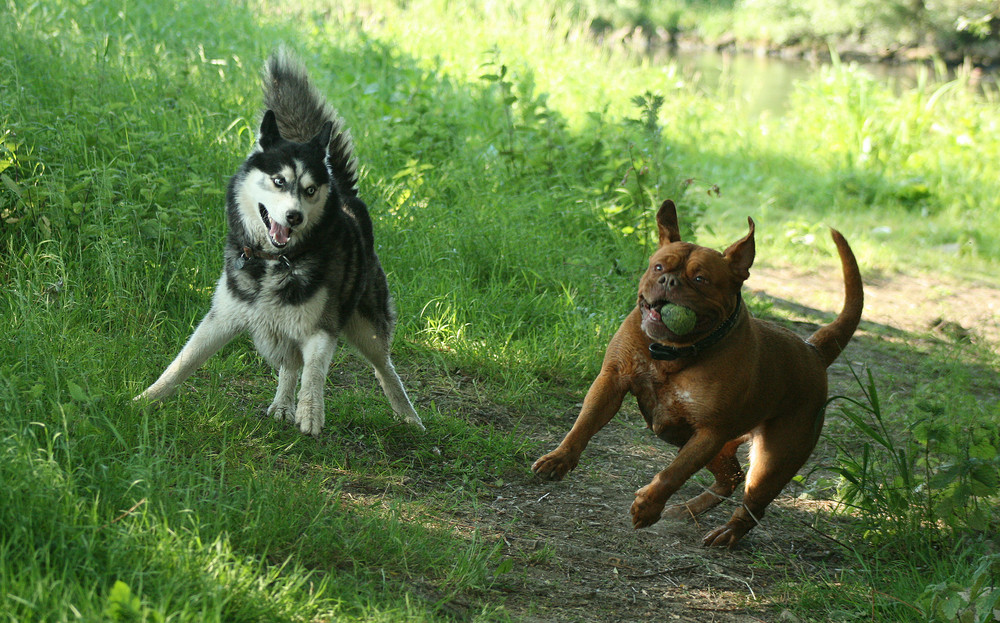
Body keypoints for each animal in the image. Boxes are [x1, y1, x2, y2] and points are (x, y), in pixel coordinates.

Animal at [536, 200, 864, 544]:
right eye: (658, 267)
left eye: (701, 279)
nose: (669, 281)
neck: (673, 351)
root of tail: (813, 352)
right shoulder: (612, 382)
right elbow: (583, 424)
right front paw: (559, 459)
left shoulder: (709, 432)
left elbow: (672, 473)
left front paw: (648, 506)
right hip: (711, 448)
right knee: (731, 477)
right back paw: (687, 509)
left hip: (771, 461)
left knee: (752, 503)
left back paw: (728, 534)